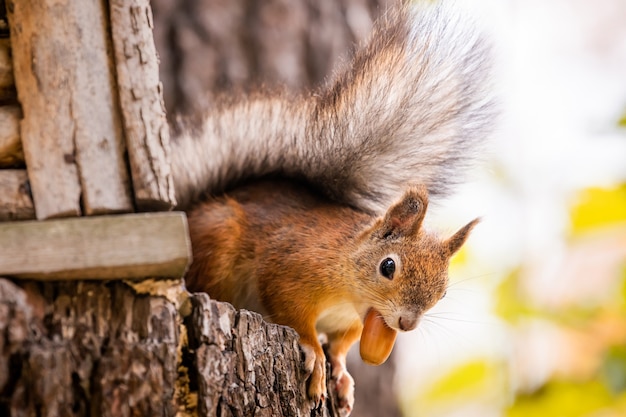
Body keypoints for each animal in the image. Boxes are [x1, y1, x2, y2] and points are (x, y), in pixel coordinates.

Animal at [171, 2, 492, 412]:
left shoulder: (352, 321)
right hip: (219, 237)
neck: (350, 290)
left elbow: (342, 345)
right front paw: (316, 355)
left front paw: (340, 371)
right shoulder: (290, 269)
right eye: (388, 266)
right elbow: (293, 314)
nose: (406, 324)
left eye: (444, 291)